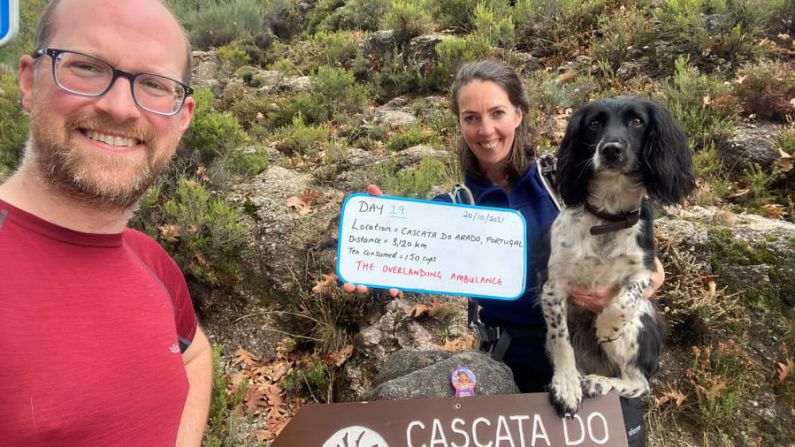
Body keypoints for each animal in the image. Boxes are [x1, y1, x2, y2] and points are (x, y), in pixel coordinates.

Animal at [536, 95, 692, 416]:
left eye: (637, 121)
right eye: (594, 123)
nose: (611, 149)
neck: (608, 218)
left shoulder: (644, 270)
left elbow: (624, 300)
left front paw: (606, 325)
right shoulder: (553, 287)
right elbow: (561, 342)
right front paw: (566, 386)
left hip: (638, 325)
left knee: (638, 382)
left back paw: (600, 381)